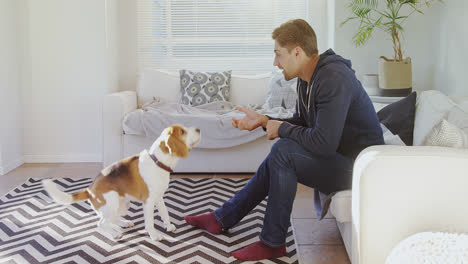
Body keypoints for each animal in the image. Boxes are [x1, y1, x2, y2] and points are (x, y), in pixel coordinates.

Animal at [41, 125, 199, 240]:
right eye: (182, 131)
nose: (198, 129)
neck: (157, 162)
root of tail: (89, 189)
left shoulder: (159, 197)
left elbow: (165, 213)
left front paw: (169, 226)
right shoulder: (148, 202)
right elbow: (150, 222)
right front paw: (154, 236)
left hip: (122, 205)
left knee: (112, 219)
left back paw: (122, 224)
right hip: (112, 202)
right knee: (100, 223)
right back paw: (114, 234)